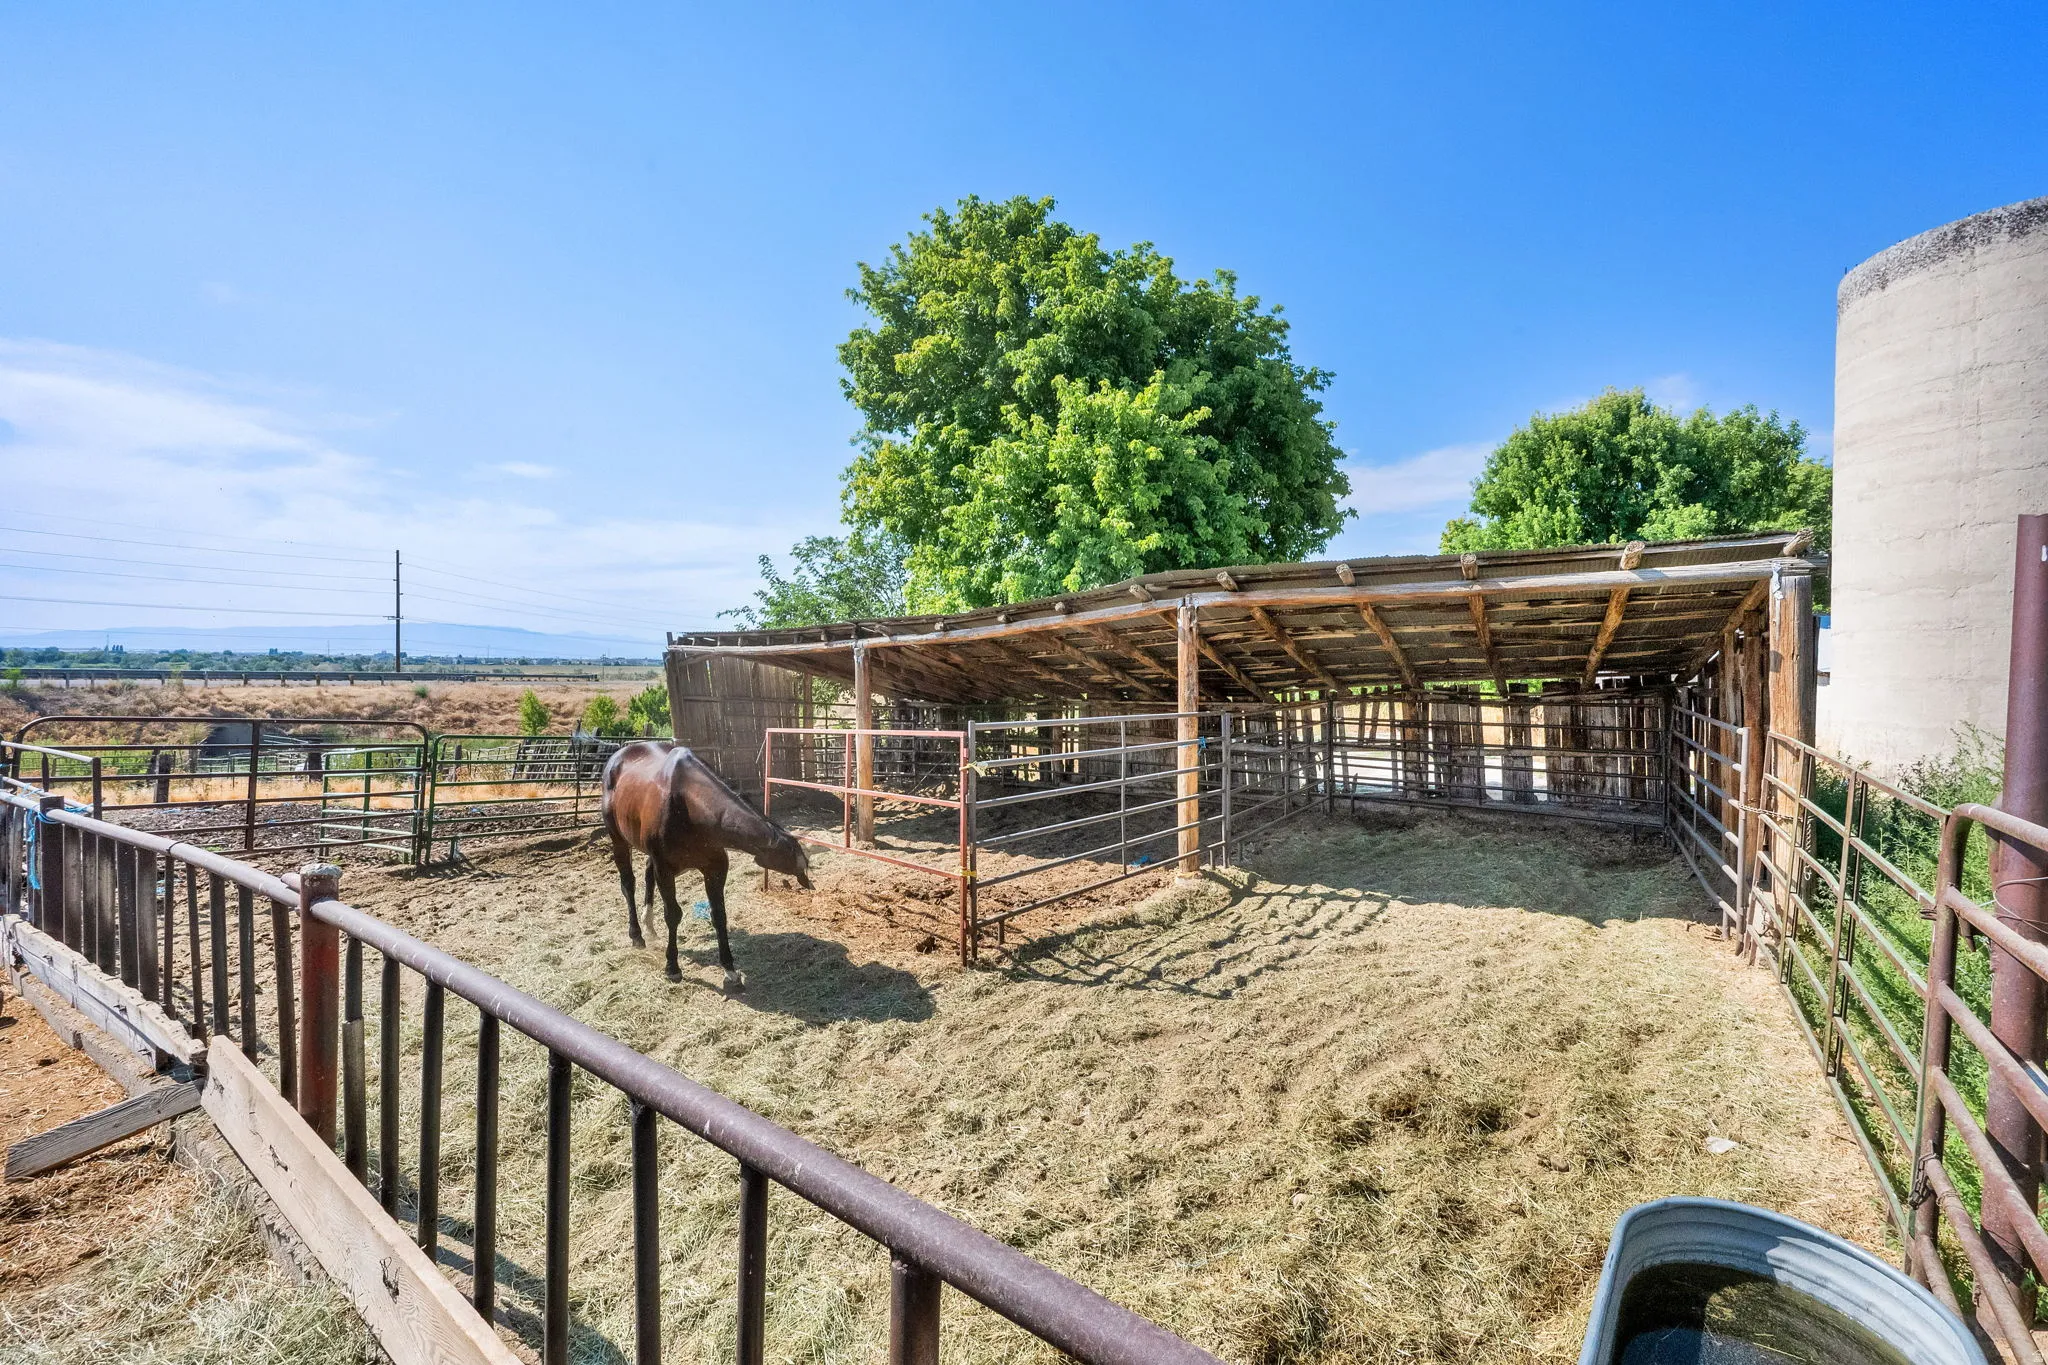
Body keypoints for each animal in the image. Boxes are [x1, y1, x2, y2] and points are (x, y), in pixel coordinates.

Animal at [599, 740, 812, 991]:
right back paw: (637, 935)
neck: (688, 805)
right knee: (628, 884)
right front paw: (672, 967)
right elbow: (672, 914)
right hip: (619, 840)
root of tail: (618, 756)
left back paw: (649, 926)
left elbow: (719, 914)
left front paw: (730, 969)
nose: (807, 881)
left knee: (647, 874)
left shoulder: (715, 868)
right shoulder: (665, 868)